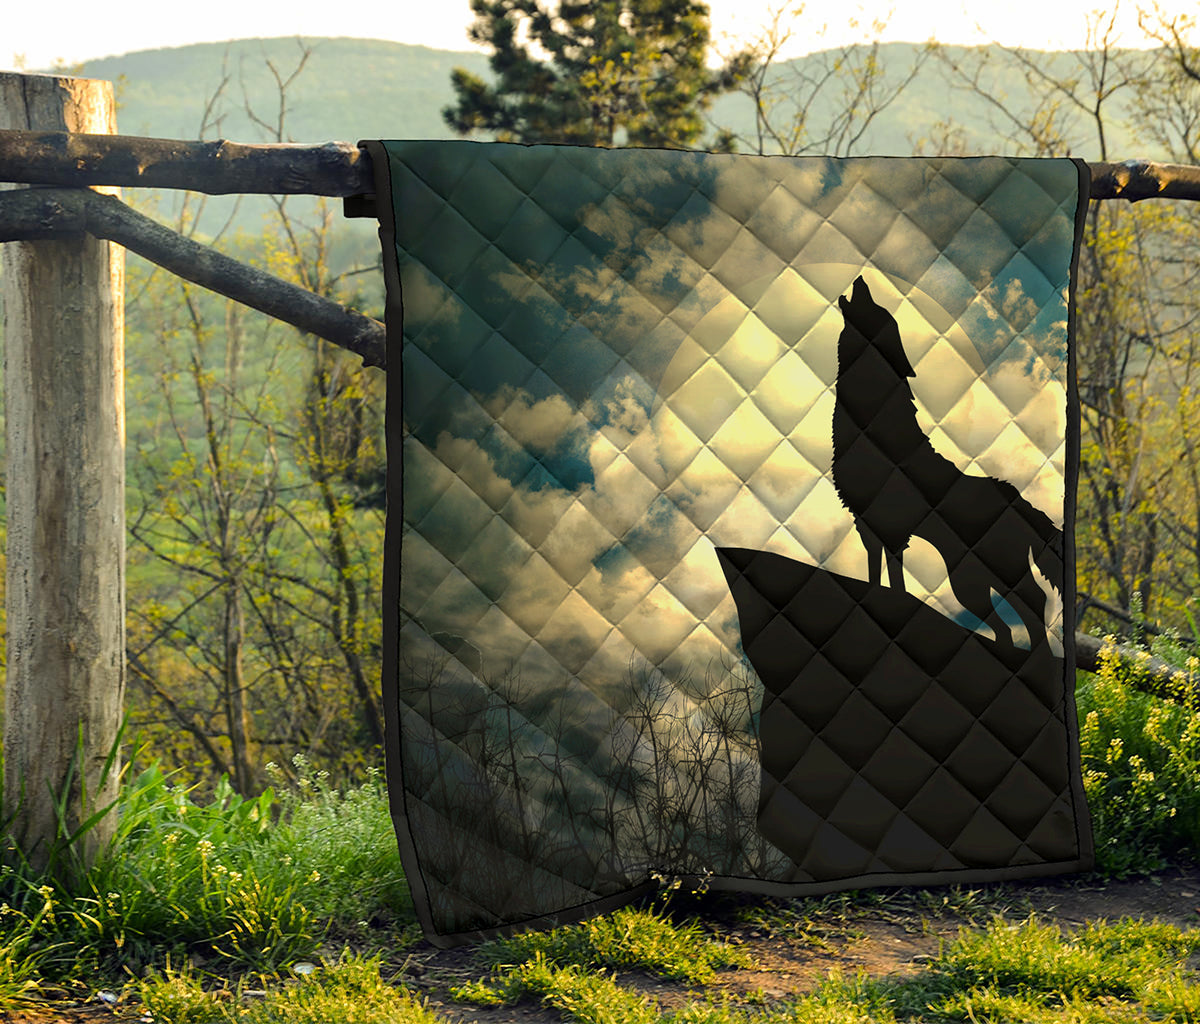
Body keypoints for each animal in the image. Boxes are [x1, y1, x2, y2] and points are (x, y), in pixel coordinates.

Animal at [831, 276, 1063, 649]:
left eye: (876, 309)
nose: (862, 277)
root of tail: (1017, 498)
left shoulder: (890, 527)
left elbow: (894, 580)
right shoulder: (866, 522)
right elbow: (876, 574)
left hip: (987, 574)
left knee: (1033, 602)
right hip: (971, 581)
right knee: (1008, 623)